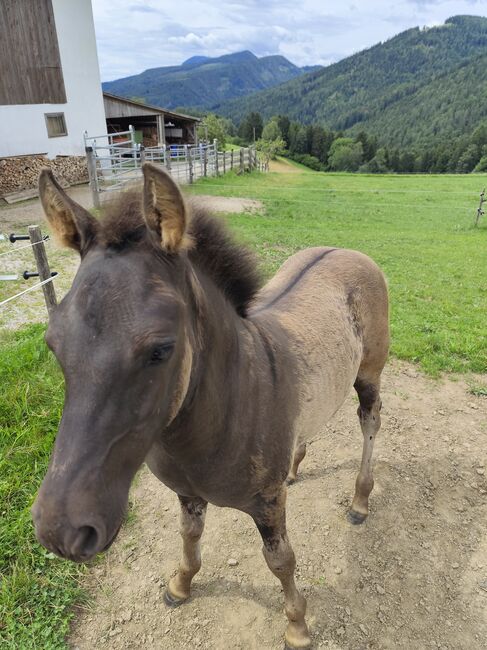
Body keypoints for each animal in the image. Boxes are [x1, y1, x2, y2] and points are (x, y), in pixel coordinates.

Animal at [33, 165, 388, 644]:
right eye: (53, 343)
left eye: (161, 349)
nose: (61, 532)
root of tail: (347, 251)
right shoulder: (187, 493)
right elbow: (188, 537)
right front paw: (180, 585)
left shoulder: (267, 505)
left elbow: (282, 561)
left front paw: (296, 624)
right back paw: (295, 468)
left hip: (369, 374)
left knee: (370, 422)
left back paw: (360, 500)